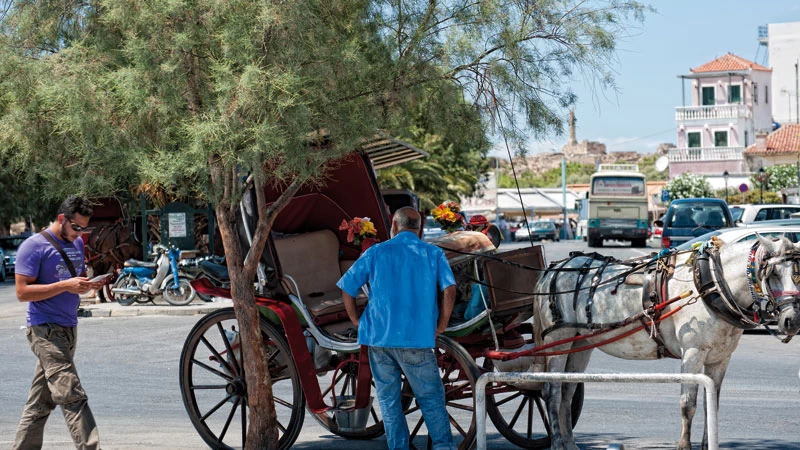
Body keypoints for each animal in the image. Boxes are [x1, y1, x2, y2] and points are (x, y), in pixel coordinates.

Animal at [532, 236, 800, 450]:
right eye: (772, 274)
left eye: (796, 274)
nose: (792, 320)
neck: (712, 283)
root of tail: (553, 270)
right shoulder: (692, 353)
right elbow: (688, 404)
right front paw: (684, 445)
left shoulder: (720, 359)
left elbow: (711, 404)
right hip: (557, 341)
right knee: (551, 392)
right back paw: (557, 442)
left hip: (579, 343)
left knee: (567, 392)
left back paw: (569, 443)